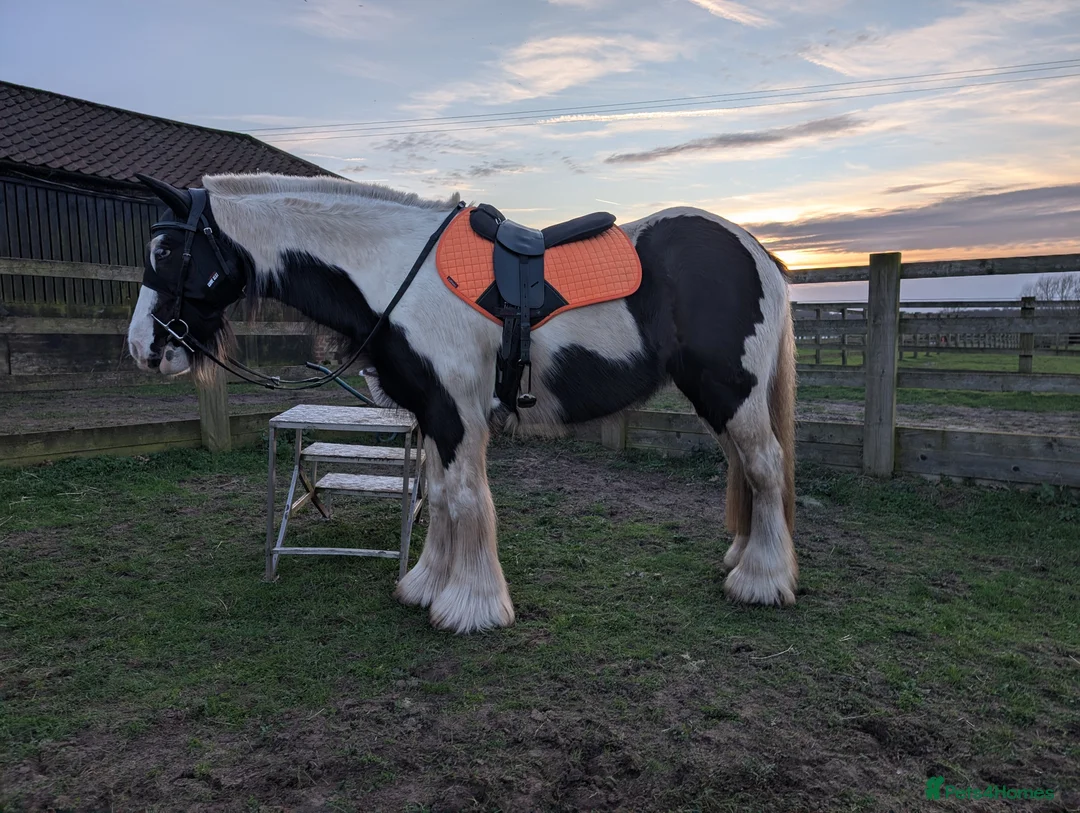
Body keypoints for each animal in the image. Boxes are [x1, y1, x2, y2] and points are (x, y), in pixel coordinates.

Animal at [125, 173, 798, 634]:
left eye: (169, 253)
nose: (143, 349)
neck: (395, 274)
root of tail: (757, 250)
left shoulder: (457, 415)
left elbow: (468, 498)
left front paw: (470, 606)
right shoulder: (431, 414)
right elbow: (442, 496)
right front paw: (426, 585)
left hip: (731, 391)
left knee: (764, 466)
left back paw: (763, 580)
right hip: (719, 399)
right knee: (746, 468)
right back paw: (745, 558)